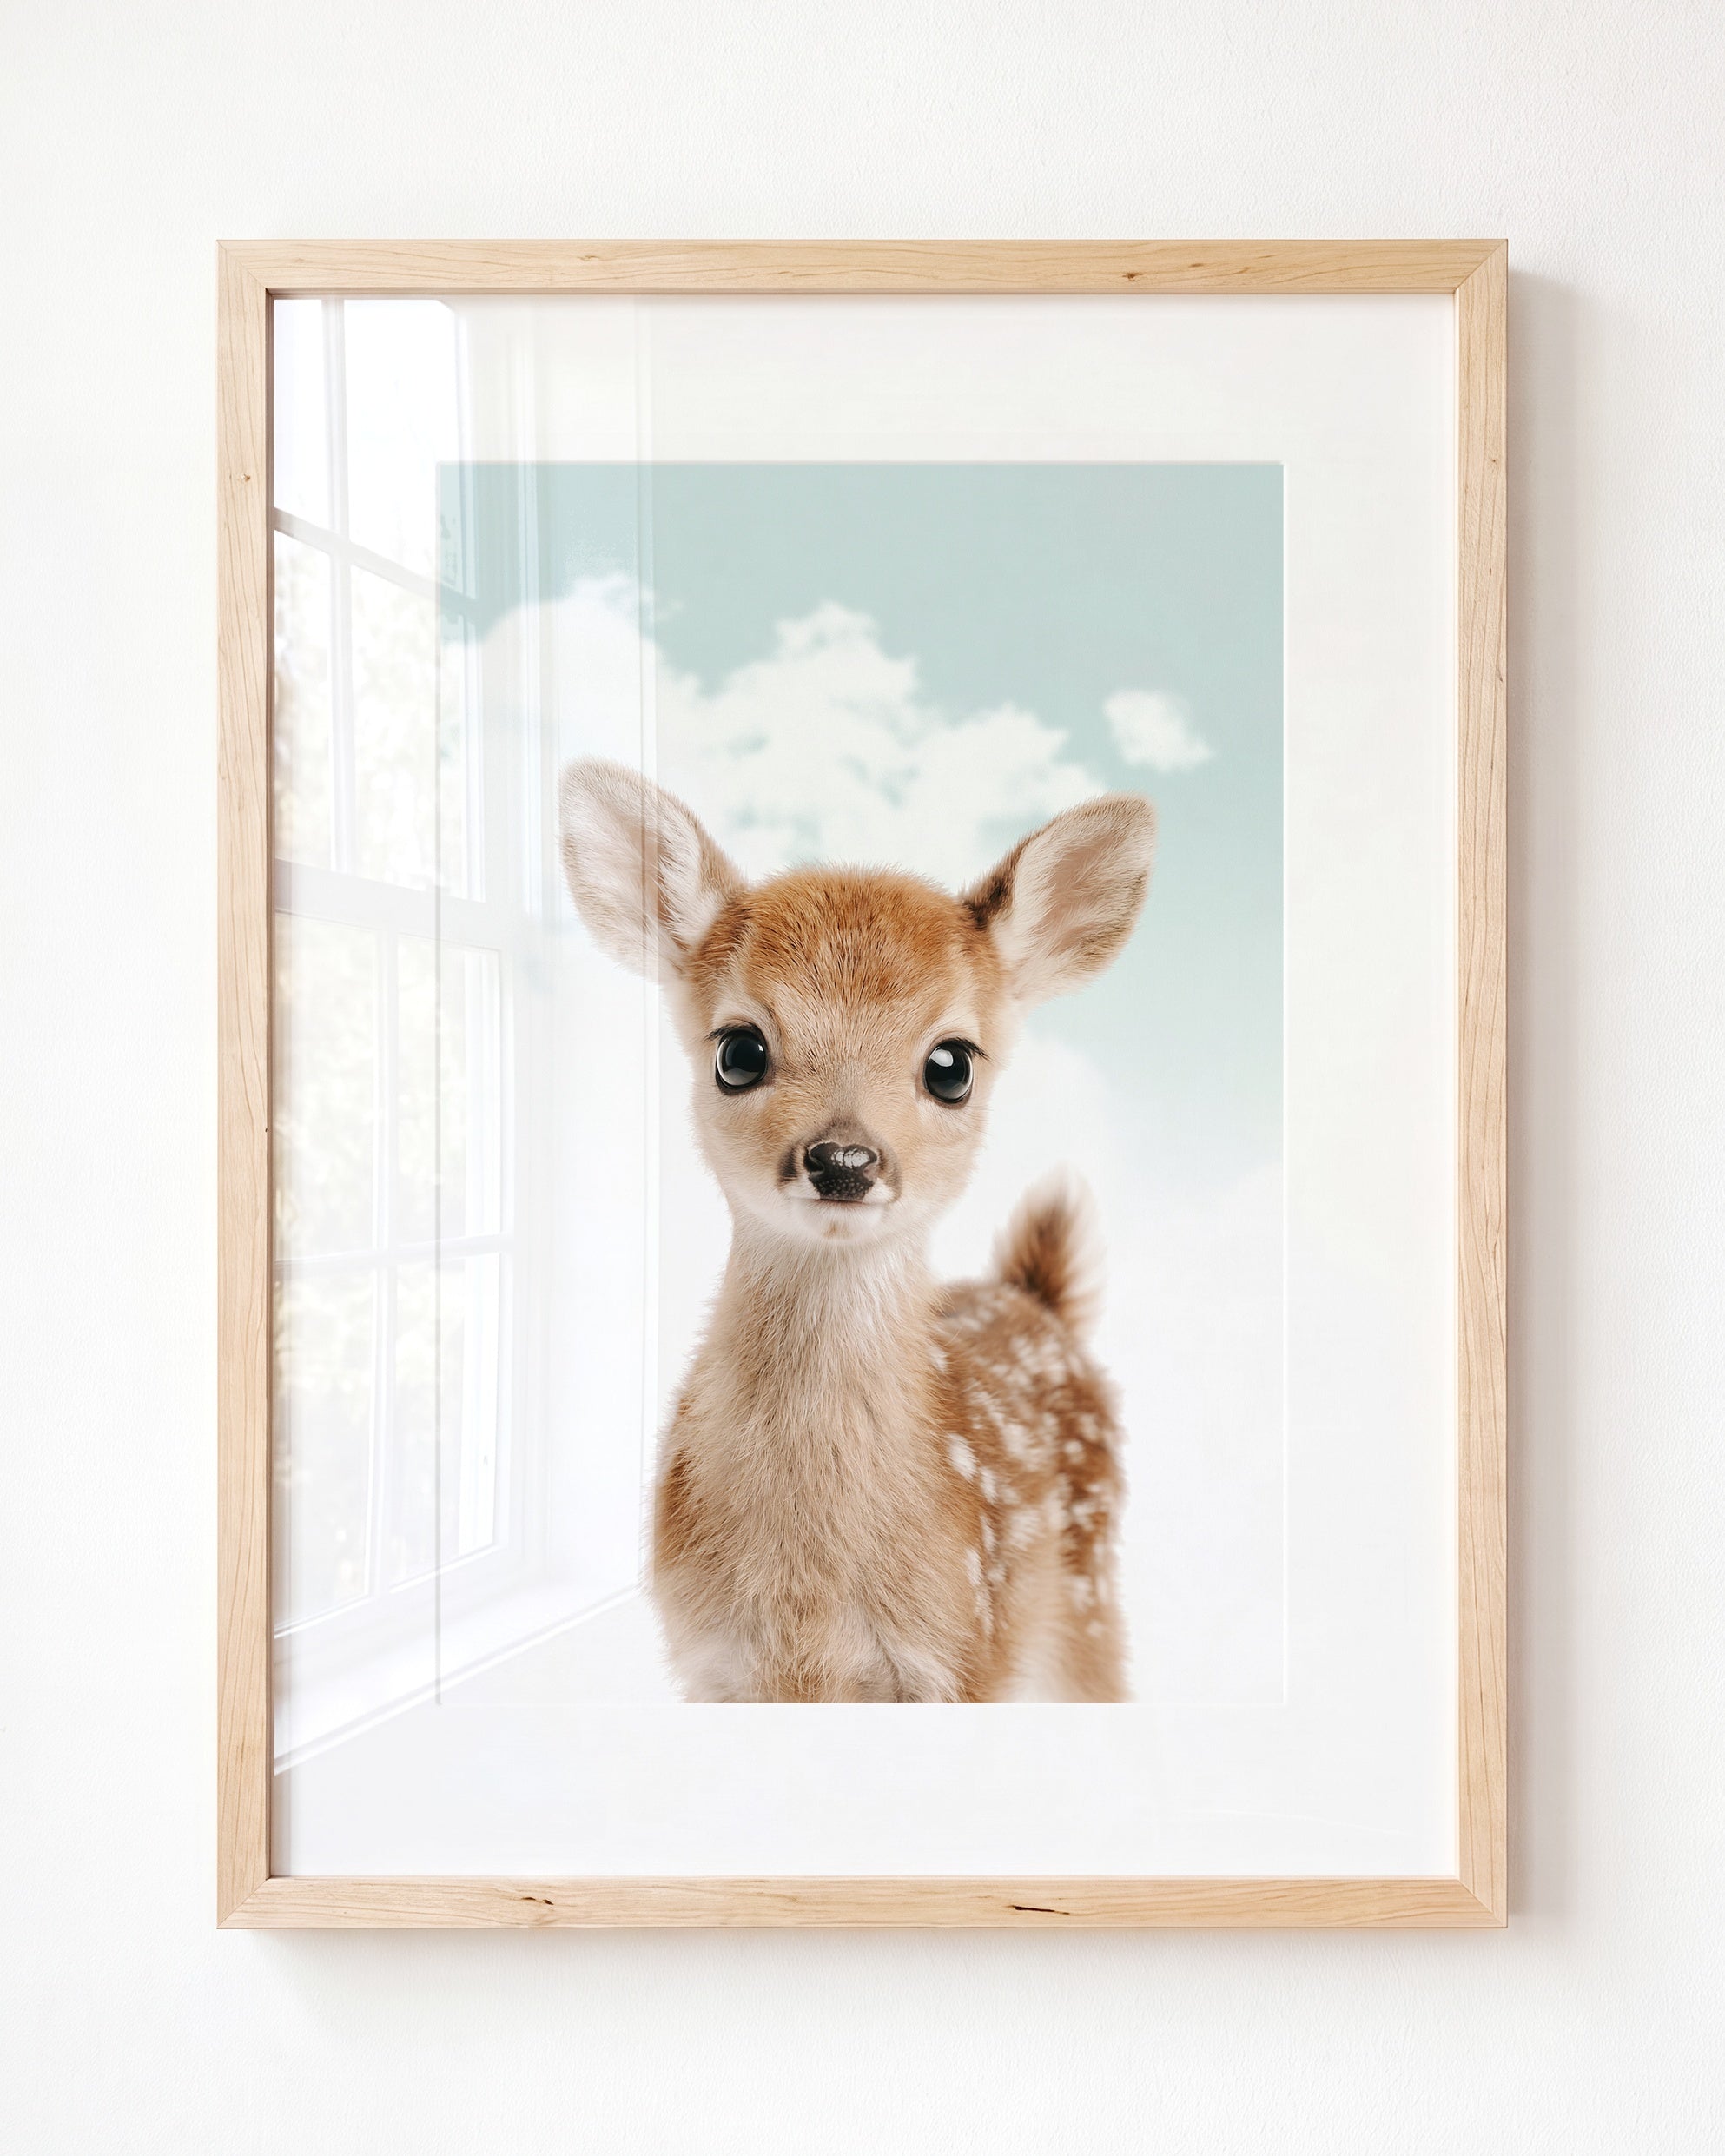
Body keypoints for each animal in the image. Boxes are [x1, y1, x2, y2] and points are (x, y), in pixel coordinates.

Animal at [558, 758, 1156, 1702]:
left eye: (951, 1064)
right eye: (738, 1051)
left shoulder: (961, 1652)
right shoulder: (710, 1663)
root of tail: (1037, 1299)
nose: (843, 1158)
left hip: (1087, 1601)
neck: (811, 1603)